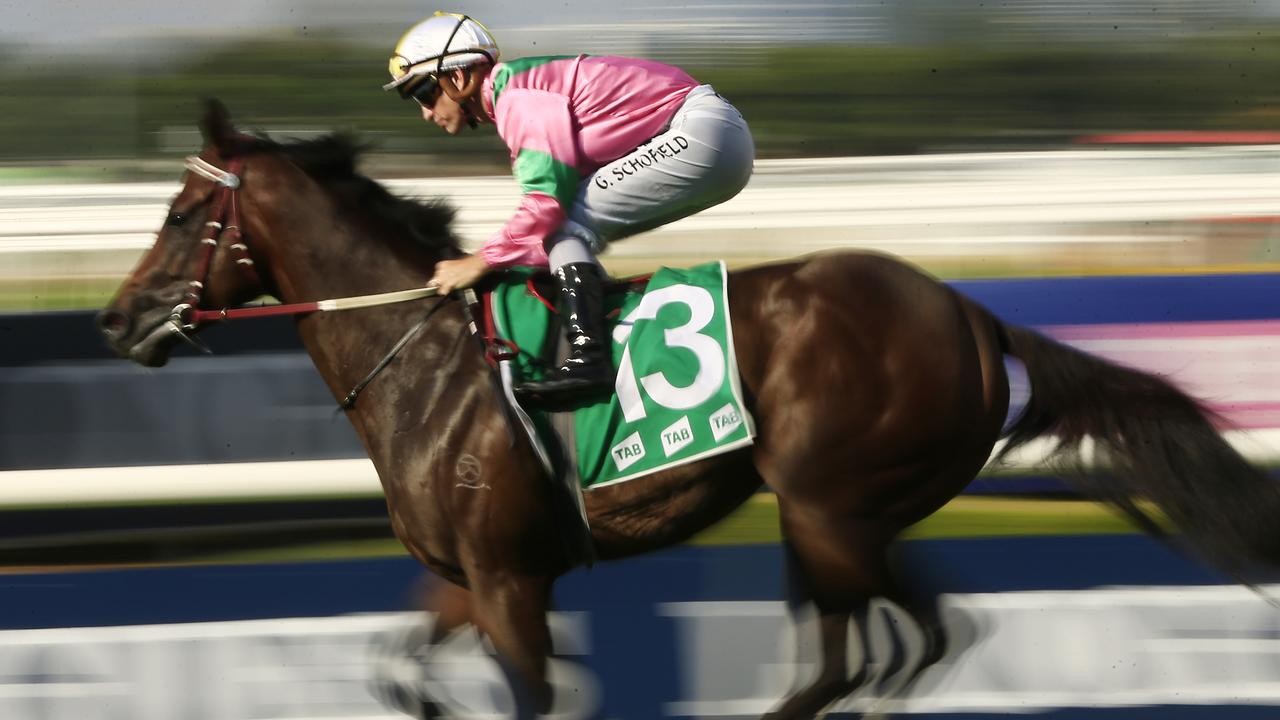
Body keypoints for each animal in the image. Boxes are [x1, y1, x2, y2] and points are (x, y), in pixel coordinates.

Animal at [97, 99, 1280, 712]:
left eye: (182, 212)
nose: (115, 320)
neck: (426, 360)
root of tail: (969, 311)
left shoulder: (510, 580)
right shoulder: (465, 577)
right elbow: (398, 673)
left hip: (826, 507)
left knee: (885, 648)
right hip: (847, 518)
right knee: (905, 640)